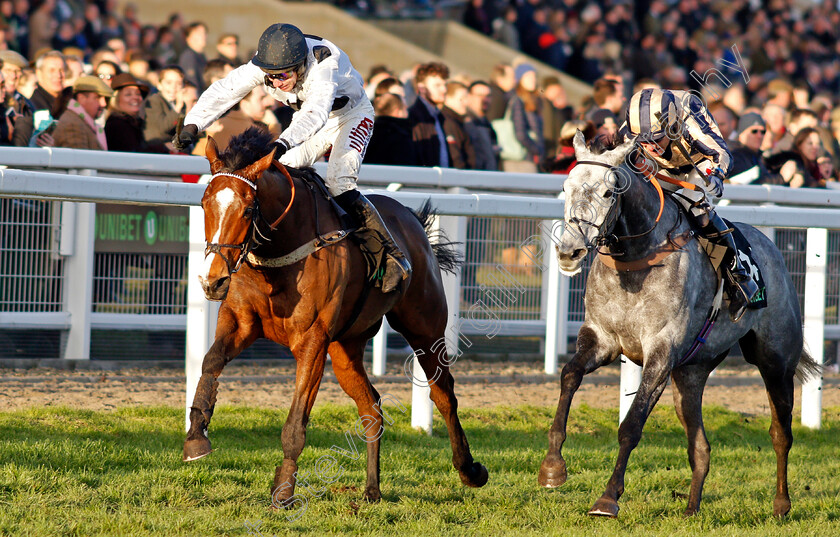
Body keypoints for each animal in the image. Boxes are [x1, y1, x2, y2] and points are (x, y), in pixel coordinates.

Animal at [184, 127, 486, 504]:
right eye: (204, 202)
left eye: (248, 208)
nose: (213, 280)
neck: (279, 253)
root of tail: (412, 218)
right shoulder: (240, 322)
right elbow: (209, 363)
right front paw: (196, 436)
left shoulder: (313, 339)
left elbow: (296, 421)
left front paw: (284, 492)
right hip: (346, 347)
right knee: (371, 406)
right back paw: (372, 489)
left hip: (424, 328)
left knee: (443, 393)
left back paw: (469, 469)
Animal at [540, 130, 820, 516]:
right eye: (566, 187)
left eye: (609, 192)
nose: (570, 252)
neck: (637, 259)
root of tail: (772, 248)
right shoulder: (602, 339)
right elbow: (569, 375)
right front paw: (552, 468)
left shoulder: (661, 351)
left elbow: (631, 424)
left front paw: (608, 498)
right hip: (691, 373)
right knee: (700, 446)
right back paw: (691, 508)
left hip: (775, 361)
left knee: (781, 433)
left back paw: (780, 504)